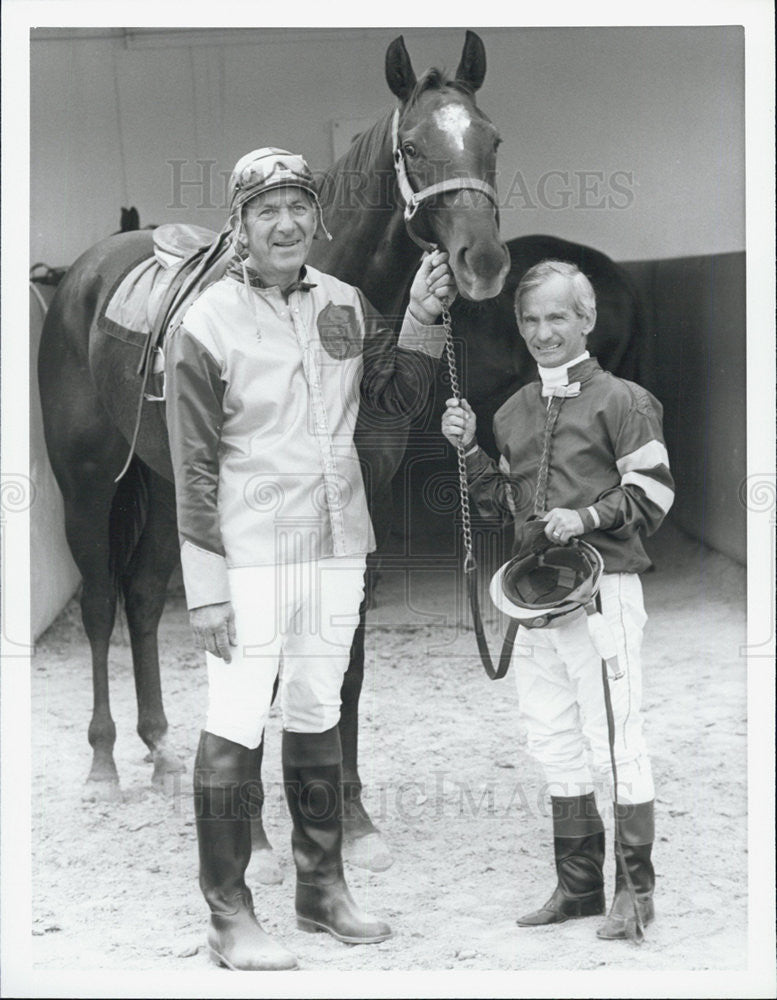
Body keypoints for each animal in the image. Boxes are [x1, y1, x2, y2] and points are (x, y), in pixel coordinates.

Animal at [39, 31, 520, 876]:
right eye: (412, 146)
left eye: (488, 140)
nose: (483, 263)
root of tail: (79, 277)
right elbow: (258, 671)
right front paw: (259, 836)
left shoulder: (355, 518)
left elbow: (343, 667)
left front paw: (351, 818)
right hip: (89, 487)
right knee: (100, 602)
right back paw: (103, 764)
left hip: (172, 496)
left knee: (141, 598)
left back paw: (161, 751)